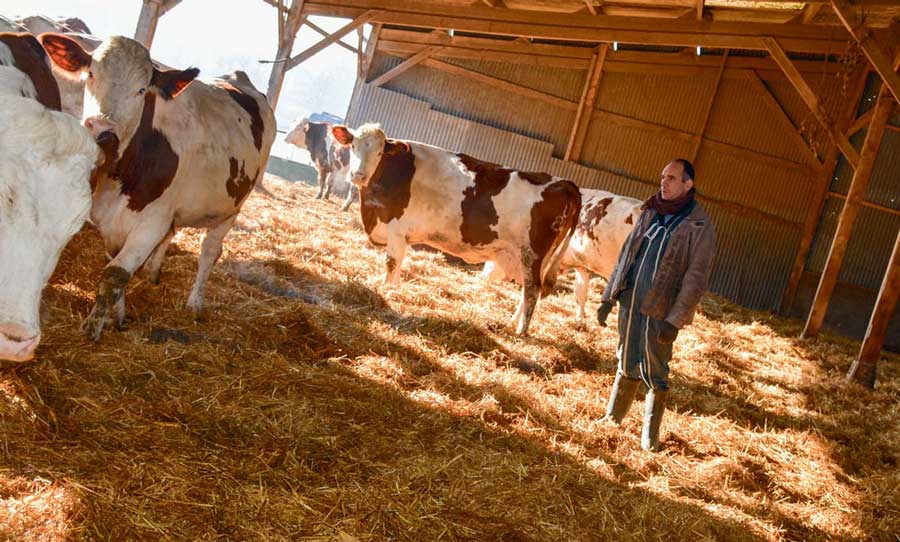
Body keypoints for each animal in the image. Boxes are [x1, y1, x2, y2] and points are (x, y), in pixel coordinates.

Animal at [39, 34, 278, 342]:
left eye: (142, 90)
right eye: (91, 74)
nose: (103, 131)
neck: (120, 175)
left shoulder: (152, 222)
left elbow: (114, 274)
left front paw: (93, 328)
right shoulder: (109, 217)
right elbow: (117, 265)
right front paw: (116, 315)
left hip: (233, 207)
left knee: (210, 251)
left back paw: (194, 304)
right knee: (172, 235)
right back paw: (153, 273)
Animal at [330, 124, 584, 336]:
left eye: (380, 152)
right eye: (353, 146)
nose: (358, 175)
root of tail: (563, 182)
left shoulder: (397, 230)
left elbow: (391, 264)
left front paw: (386, 291)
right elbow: (399, 264)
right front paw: (394, 290)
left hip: (532, 253)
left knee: (532, 290)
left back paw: (520, 332)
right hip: (534, 257)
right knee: (530, 289)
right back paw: (512, 324)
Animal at [482, 189, 644, 324]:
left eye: (493, 256)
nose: (482, 277)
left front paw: (513, 322)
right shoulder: (582, 266)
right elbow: (580, 293)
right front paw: (580, 320)